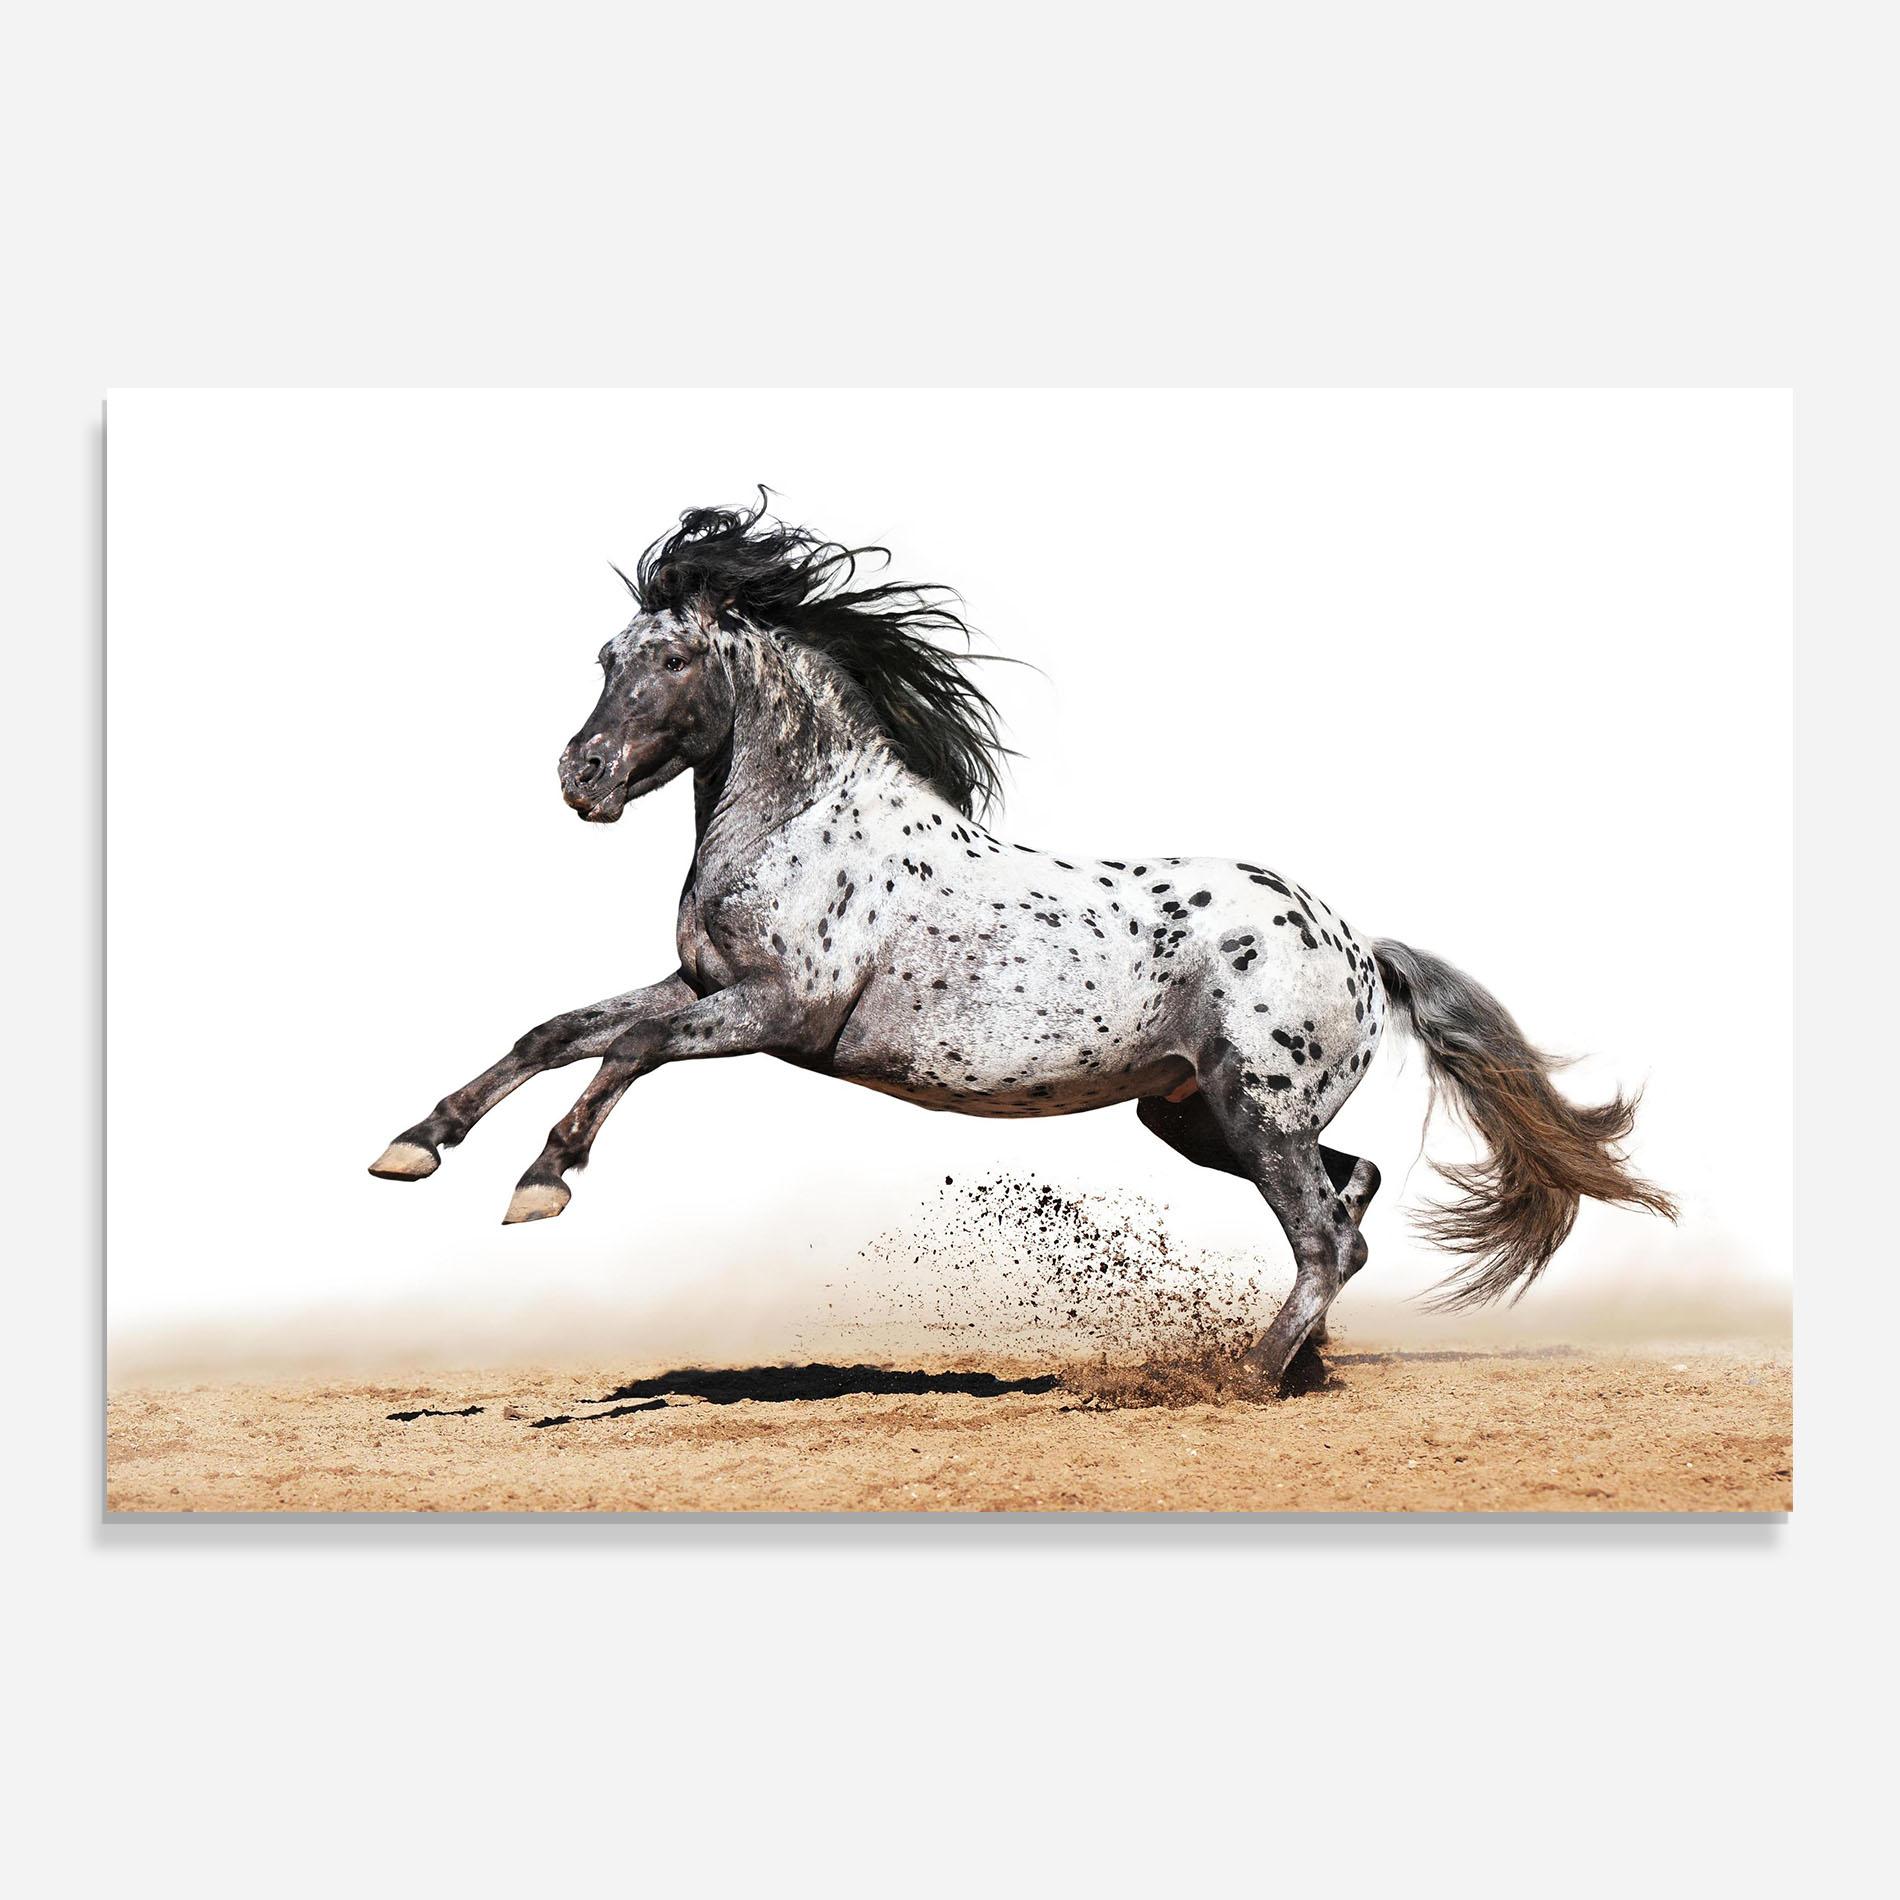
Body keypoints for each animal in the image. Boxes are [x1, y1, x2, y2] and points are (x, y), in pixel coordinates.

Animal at [370, 496, 1675, 1388]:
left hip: (1252, 1109)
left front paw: (541, 1184)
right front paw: (414, 1147)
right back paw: (1301, 1364)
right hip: (1192, 1113)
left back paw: (1242, 1379)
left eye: (676, 659)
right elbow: (558, 1029)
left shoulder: (771, 1016)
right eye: (605, 659)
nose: (581, 779)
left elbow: (627, 1052)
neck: (805, 822)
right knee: (1346, 1198)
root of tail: (1357, 942)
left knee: (1323, 1234)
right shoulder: (700, 983)